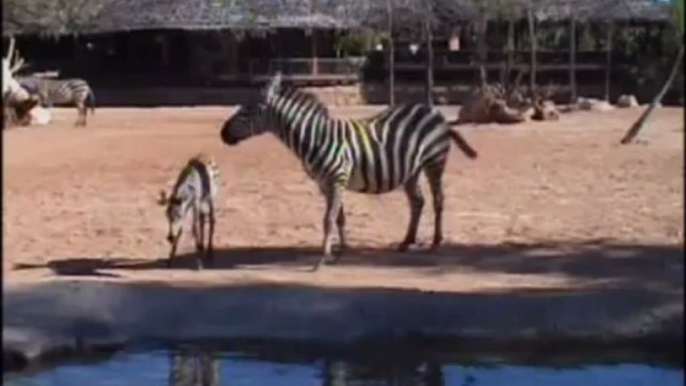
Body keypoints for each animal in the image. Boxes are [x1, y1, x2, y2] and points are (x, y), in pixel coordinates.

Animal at [220, 73, 478, 272]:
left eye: (248, 110)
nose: (222, 134)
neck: (314, 138)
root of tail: (435, 113)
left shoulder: (337, 179)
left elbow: (328, 218)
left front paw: (322, 259)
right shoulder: (325, 184)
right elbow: (339, 217)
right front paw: (341, 251)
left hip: (434, 162)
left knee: (438, 200)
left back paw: (435, 242)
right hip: (411, 169)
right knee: (418, 201)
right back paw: (406, 242)